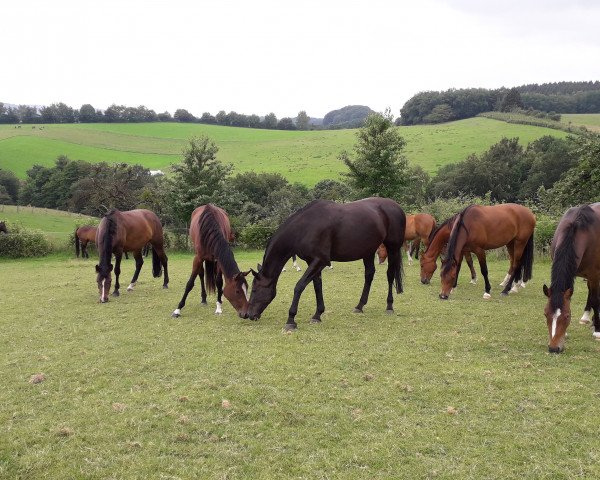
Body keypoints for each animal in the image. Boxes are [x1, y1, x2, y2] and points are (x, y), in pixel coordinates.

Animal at [244, 196, 408, 330]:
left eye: (254, 290)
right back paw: (360, 306)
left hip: (392, 248)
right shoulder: (313, 262)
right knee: (369, 275)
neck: (306, 227)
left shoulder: (320, 261)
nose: (248, 315)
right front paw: (317, 315)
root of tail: (397, 207)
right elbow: (317, 285)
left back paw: (389, 306)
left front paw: (291, 320)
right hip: (368, 251)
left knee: (390, 275)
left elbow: (299, 286)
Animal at [540, 202, 600, 352]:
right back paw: (586, 317)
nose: (554, 348)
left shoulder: (594, 275)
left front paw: (597, 331)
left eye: (567, 316)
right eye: (546, 314)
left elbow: (596, 300)